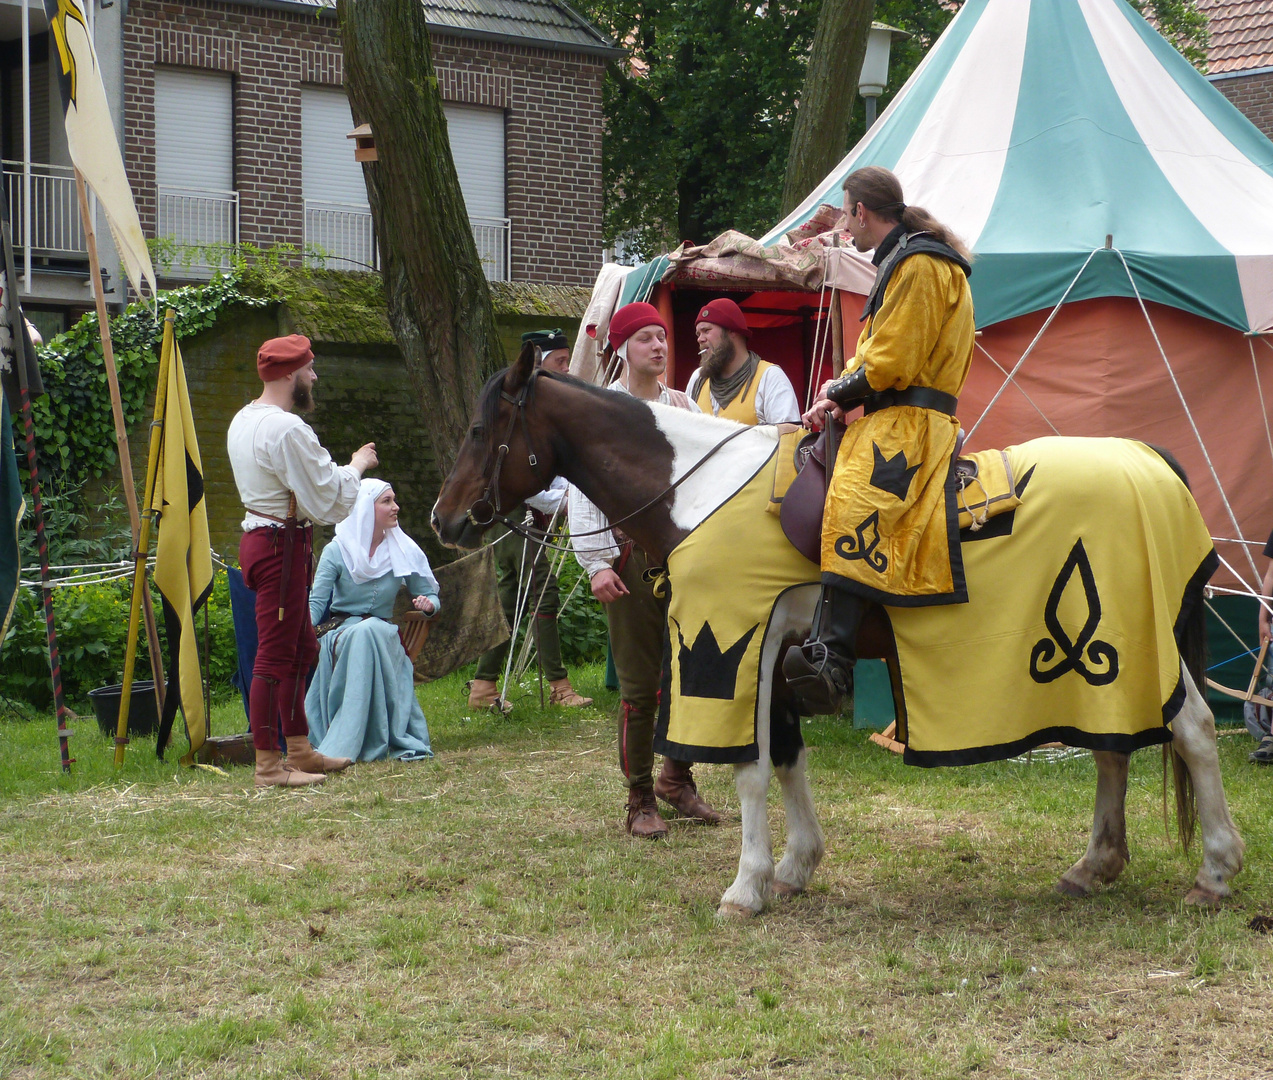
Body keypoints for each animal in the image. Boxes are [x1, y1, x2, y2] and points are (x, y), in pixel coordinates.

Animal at [435, 348, 1242, 922]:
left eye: (478, 430)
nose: (445, 521)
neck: (697, 489)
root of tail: (1151, 462)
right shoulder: (771, 654)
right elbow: (787, 756)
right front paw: (795, 867)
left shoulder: (736, 644)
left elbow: (753, 766)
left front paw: (747, 885)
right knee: (1113, 743)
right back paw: (1095, 865)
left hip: (1135, 640)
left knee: (1194, 731)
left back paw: (1214, 872)